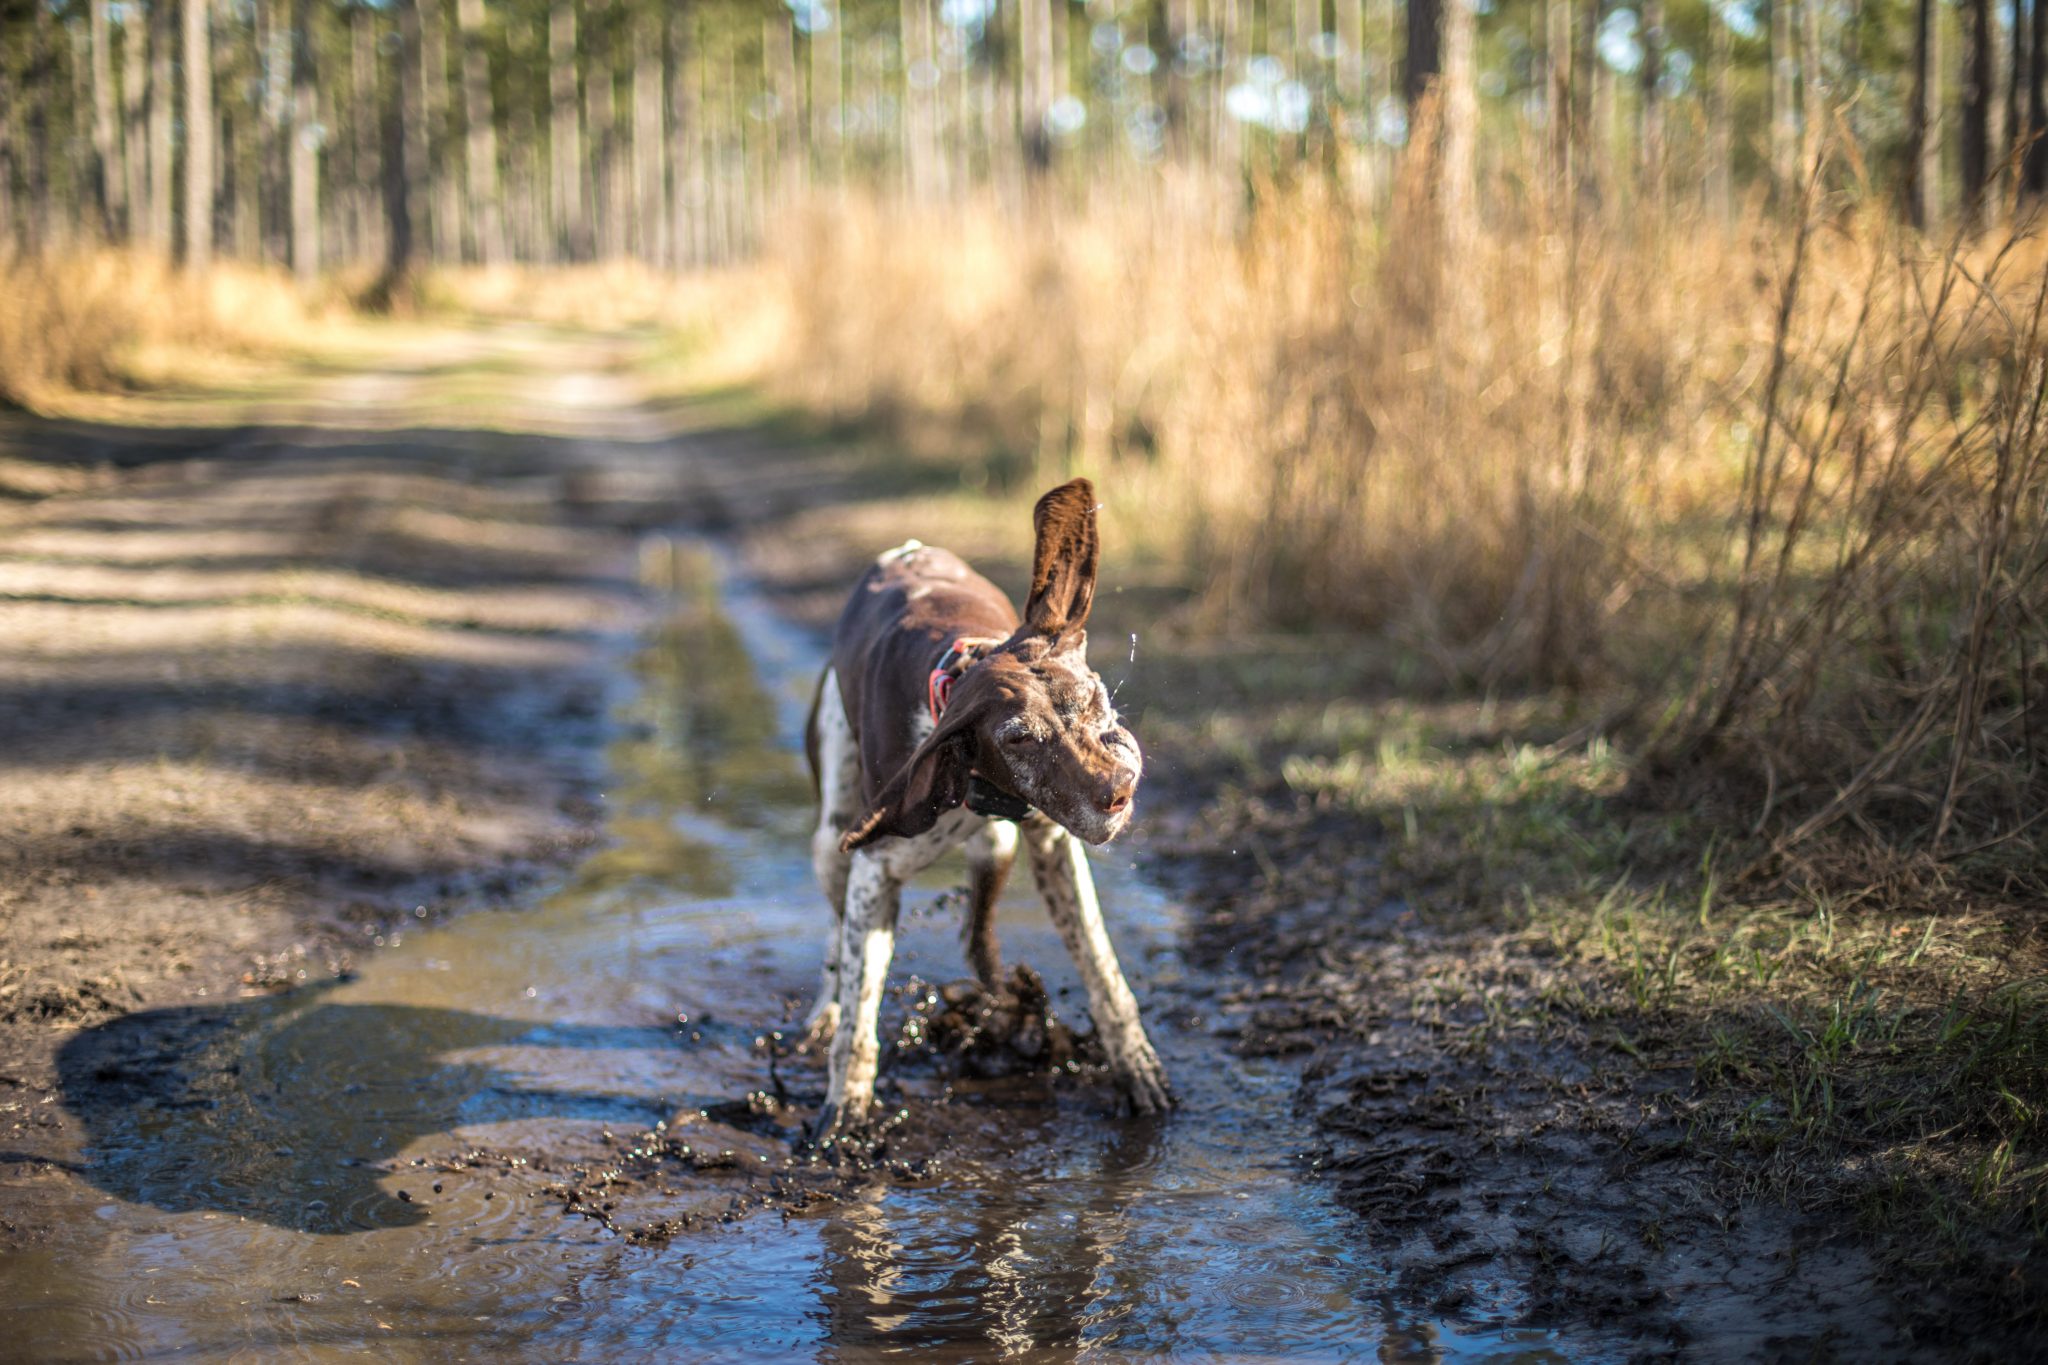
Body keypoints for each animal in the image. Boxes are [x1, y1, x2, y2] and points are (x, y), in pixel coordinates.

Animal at [806, 480, 1179, 1146]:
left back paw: (1001, 1009)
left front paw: (1135, 1063)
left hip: (996, 850)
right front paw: (846, 1105)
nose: (1118, 790)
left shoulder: (1055, 848)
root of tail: (907, 547)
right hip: (831, 838)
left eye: (1093, 698)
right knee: (837, 935)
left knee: (976, 939)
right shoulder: (875, 870)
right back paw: (829, 1009)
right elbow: (859, 1007)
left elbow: (1103, 969)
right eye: (1019, 739)